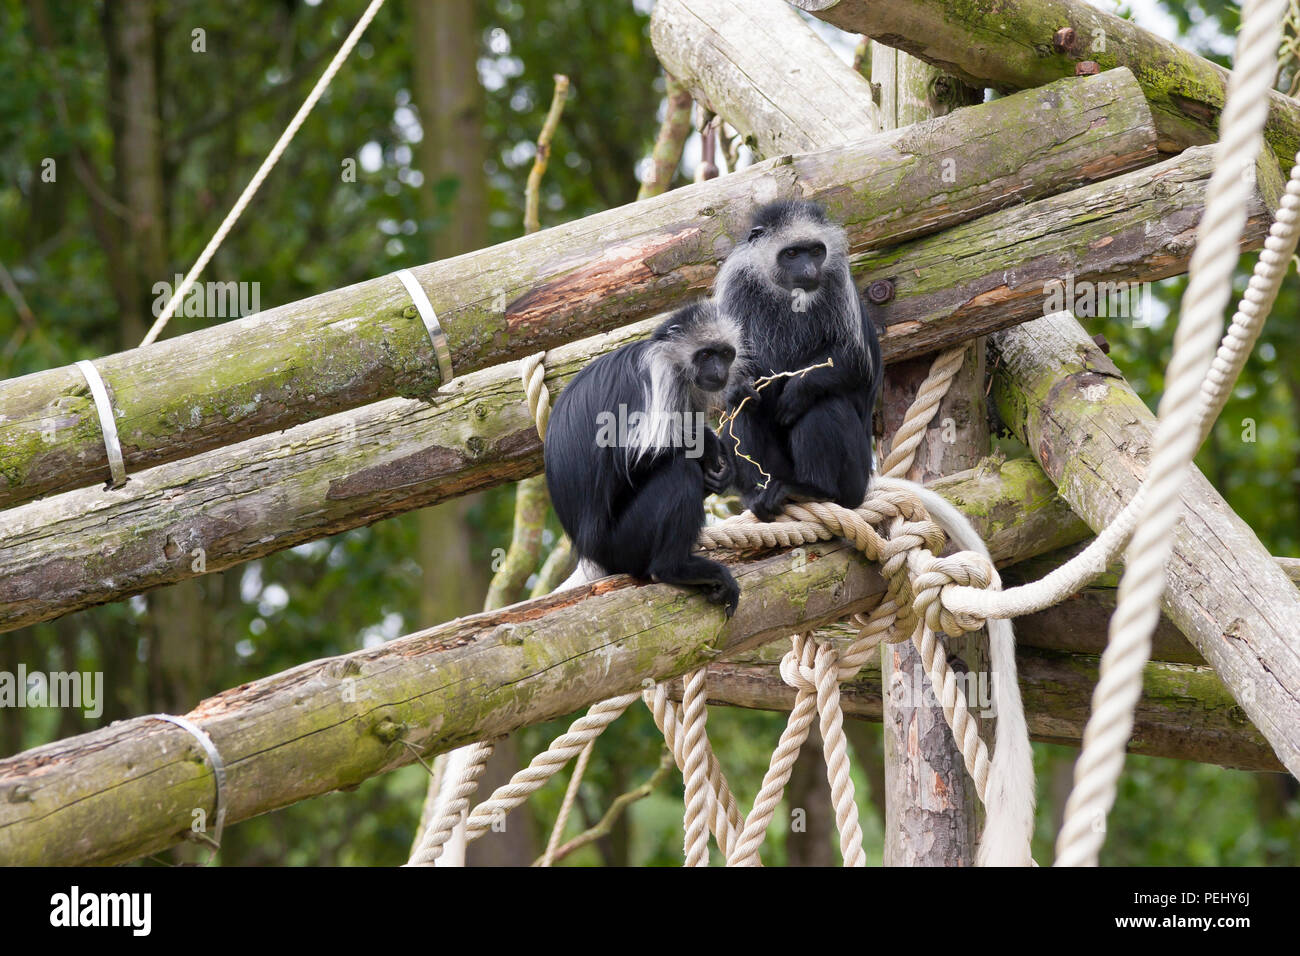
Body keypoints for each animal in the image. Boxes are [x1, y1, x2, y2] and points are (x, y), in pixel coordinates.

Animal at [543, 303, 748, 616]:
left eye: (725, 354)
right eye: (706, 355)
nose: (719, 371)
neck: (675, 361)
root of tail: (592, 555)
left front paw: (722, 467)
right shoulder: (659, 376)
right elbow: (634, 456)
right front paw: (710, 444)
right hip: (623, 541)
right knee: (680, 470)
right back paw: (675, 568)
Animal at [712, 200, 1034, 868]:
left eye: (814, 252)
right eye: (791, 254)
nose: (809, 270)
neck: (788, 294)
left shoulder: (838, 290)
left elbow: (849, 366)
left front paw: (791, 387)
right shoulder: (736, 289)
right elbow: (734, 380)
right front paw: (750, 387)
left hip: (848, 461)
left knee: (824, 406)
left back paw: (812, 484)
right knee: (745, 415)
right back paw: (766, 495)